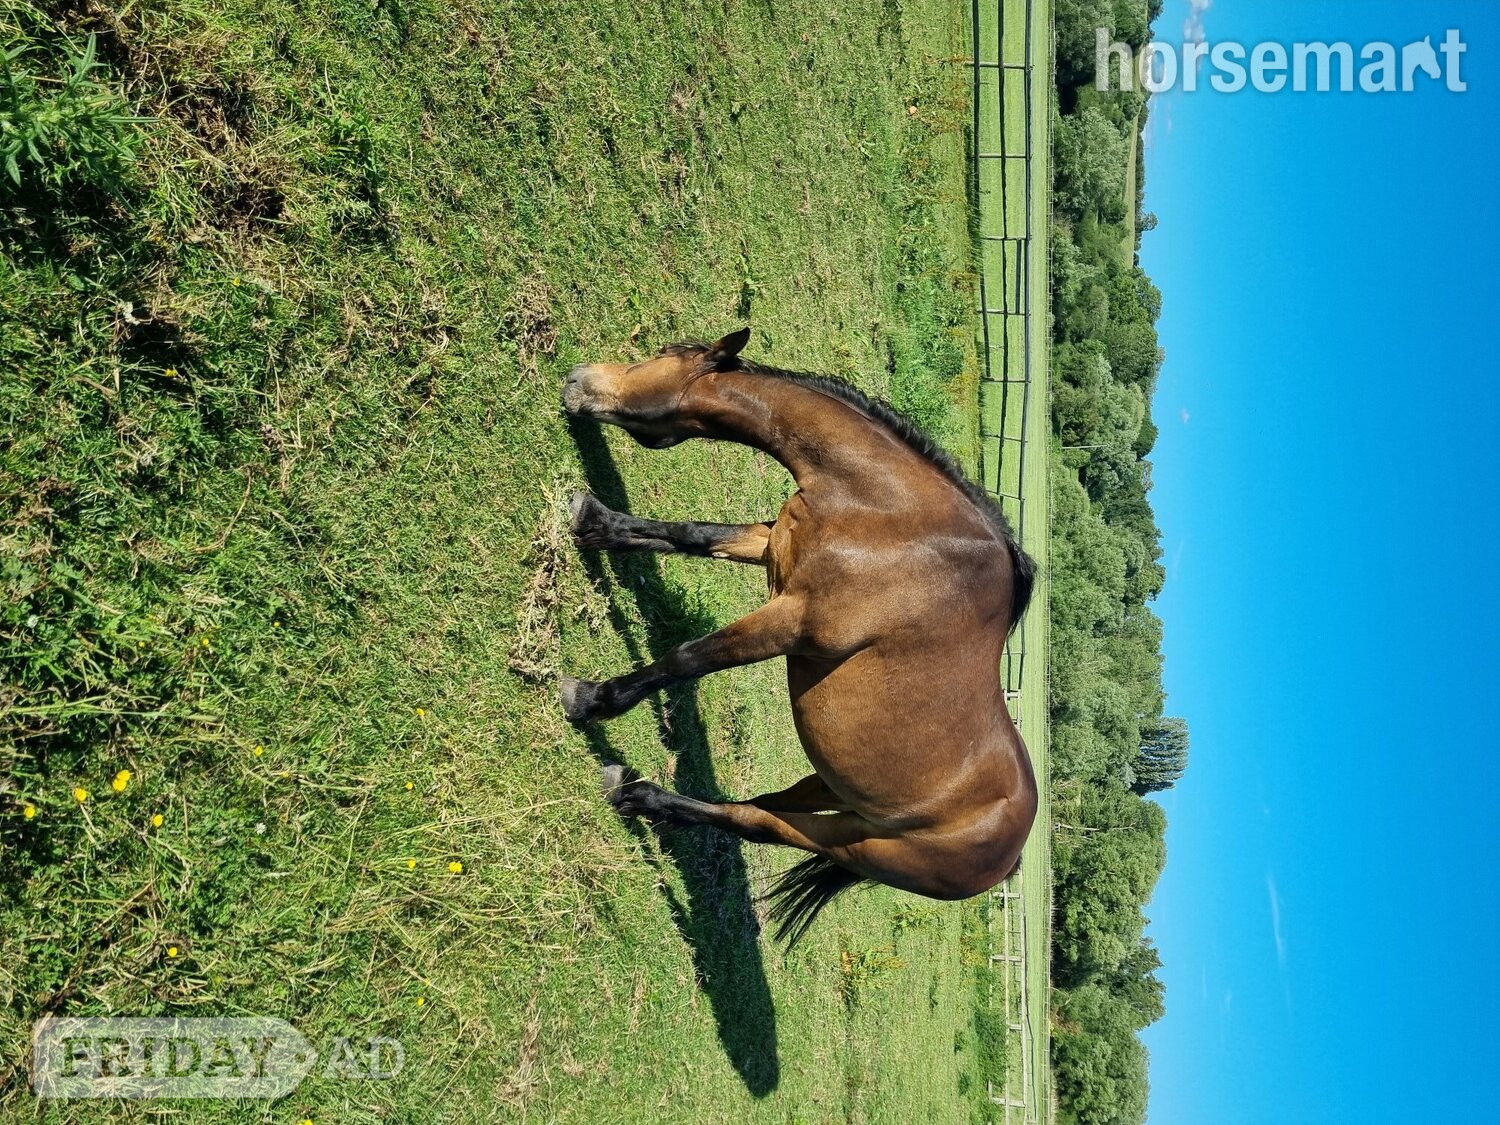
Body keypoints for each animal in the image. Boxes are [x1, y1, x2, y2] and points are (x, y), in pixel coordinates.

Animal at [560, 328, 1038, 944]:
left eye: (664, 356)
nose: (578, 380)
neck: (892, 517)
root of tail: (1011, 854)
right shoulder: (771, 545)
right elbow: (688, 534)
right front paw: (592, 521)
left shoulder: (793, 621)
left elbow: (686, 658)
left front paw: (591, 700)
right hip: (832, 790)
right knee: (765, 803)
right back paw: (658, 809)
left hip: (855, 843)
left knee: (758, 821)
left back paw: (633, 792)